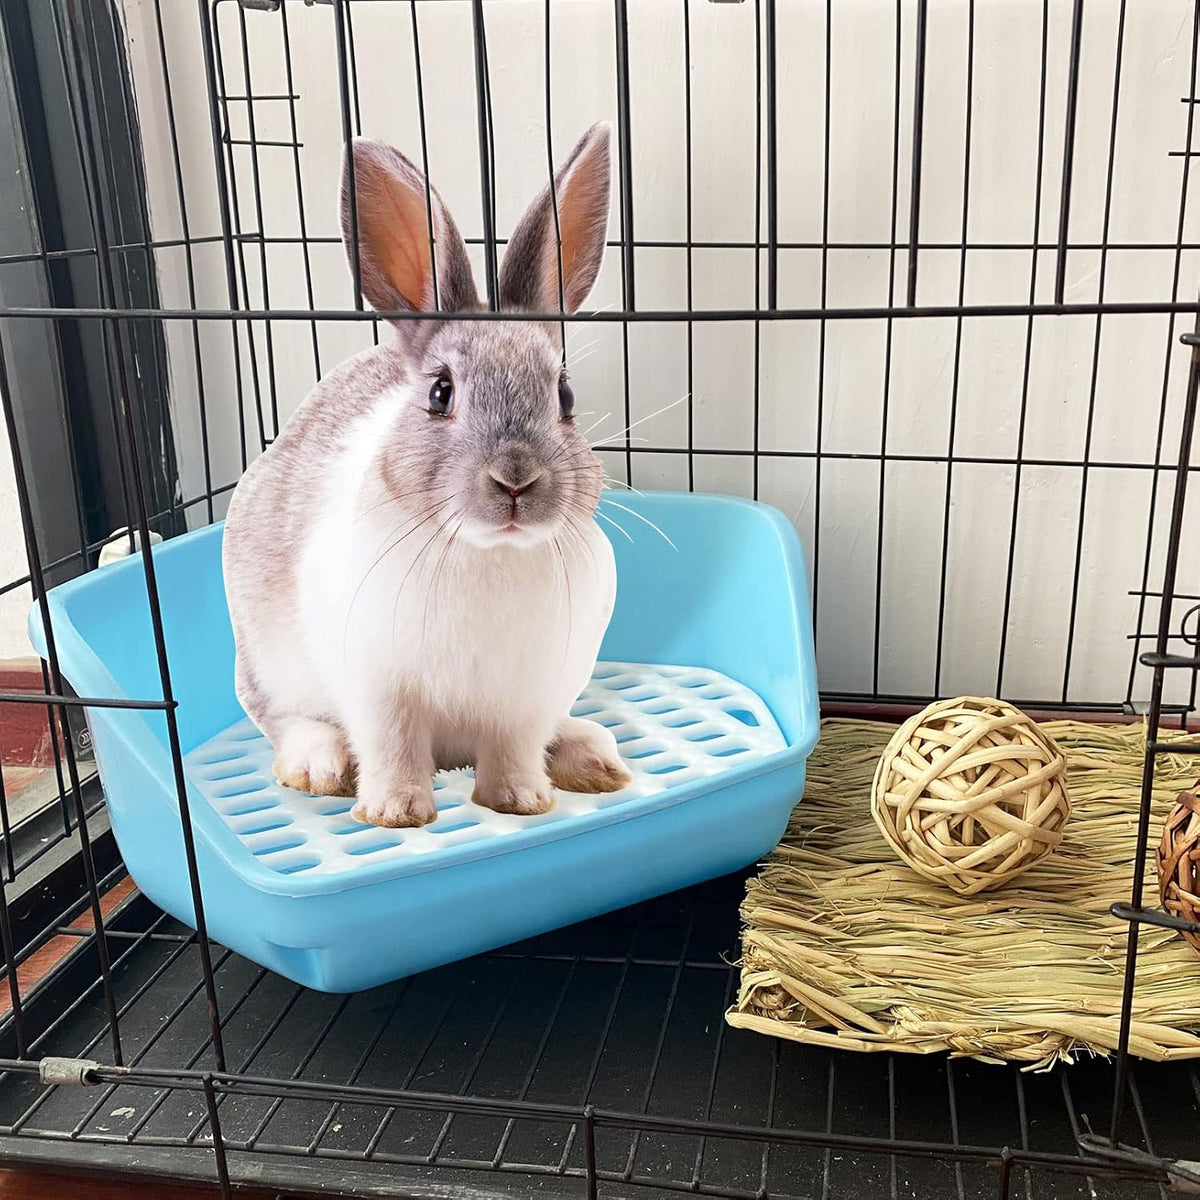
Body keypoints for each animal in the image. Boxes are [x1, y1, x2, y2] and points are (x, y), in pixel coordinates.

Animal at [222, 123, 632, 829]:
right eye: (440, 393)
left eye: (565, 396)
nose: (515, 480)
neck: (487, 552)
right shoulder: (377, 687)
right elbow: (391, 744)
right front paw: (396, 813)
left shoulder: (525, 698)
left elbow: (514, 749)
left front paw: (522, 802)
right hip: (269, 668)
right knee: (287, 720)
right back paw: (320, 766)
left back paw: (592, 759)